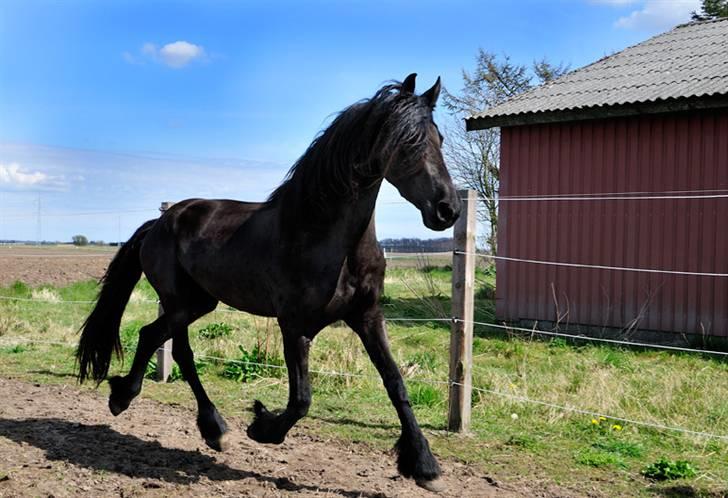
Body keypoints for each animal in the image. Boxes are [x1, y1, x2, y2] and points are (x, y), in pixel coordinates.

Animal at [78, 76, 460, 492]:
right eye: (405, 143)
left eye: (438, 138)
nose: (447, 210)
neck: (324, 238)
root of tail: (159, 222)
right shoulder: (294, 325)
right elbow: (301, 400)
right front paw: (261, 426)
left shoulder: (368, 317)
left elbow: (395, 383)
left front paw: (424, 465)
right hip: (180, 301)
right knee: (165, 343)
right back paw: (160, 410)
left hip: (196, 303)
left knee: (167, 344)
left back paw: (196, 424)